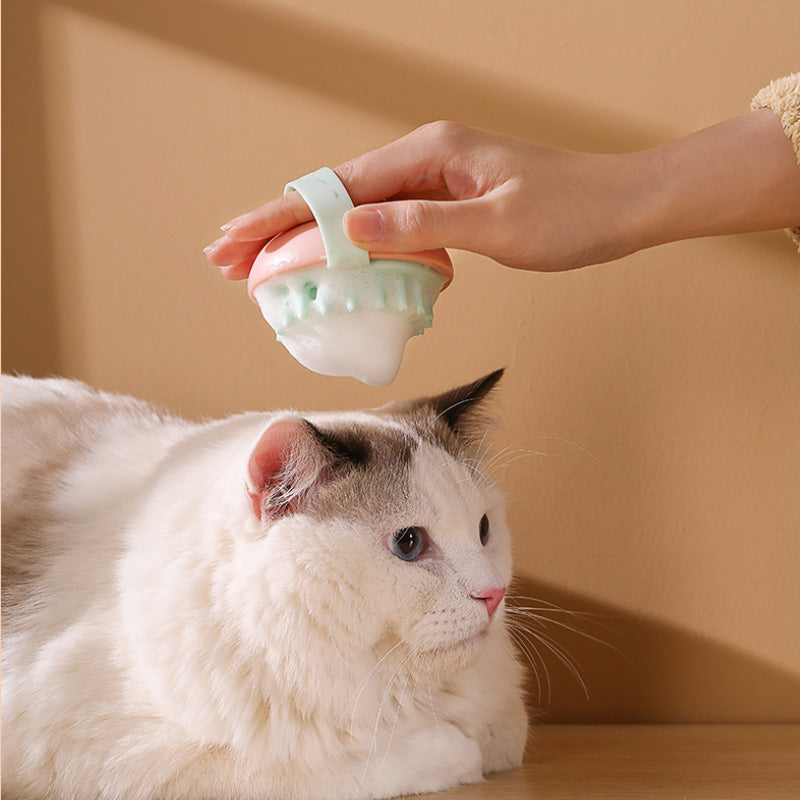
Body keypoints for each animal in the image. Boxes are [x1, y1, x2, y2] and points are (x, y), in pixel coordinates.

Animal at [3, 374, 528, 800]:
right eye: (409, 543)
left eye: (484, 529)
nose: (493, 594)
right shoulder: (100, 752)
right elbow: (326, 768)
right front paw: (455, 755)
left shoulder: (504, 715)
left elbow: (505, 734)